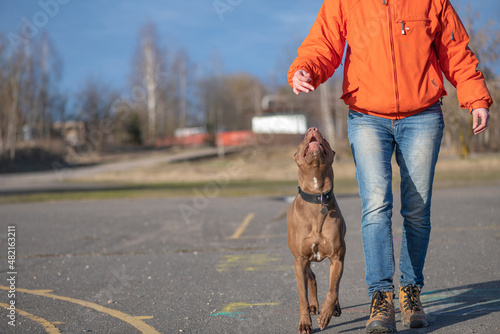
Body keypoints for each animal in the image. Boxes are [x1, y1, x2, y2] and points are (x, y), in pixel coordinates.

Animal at [288, 126, 346, 332]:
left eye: (326, 140)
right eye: (302, 141)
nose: (312, 128)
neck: (317, 194)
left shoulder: (337, 257)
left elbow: (333, 289)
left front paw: (326, 314)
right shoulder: (300, 260)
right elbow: (301, 297)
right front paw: (305, 323)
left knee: (332, 285)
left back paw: (334, 307)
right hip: (303, 262)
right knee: (311, 277)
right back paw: (314, 306)